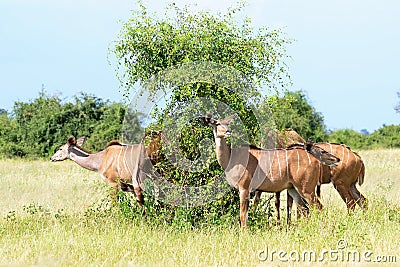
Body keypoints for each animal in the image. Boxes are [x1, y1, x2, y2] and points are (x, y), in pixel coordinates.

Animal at [205, 114, 340, 231]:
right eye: (217, 123)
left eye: (227, 123)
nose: (228, 131)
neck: (231, 158)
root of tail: (315, 160)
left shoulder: (244, 189)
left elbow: (243, 216)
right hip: (294, 189)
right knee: (306, 209)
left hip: (306, 189)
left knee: (318, 208)